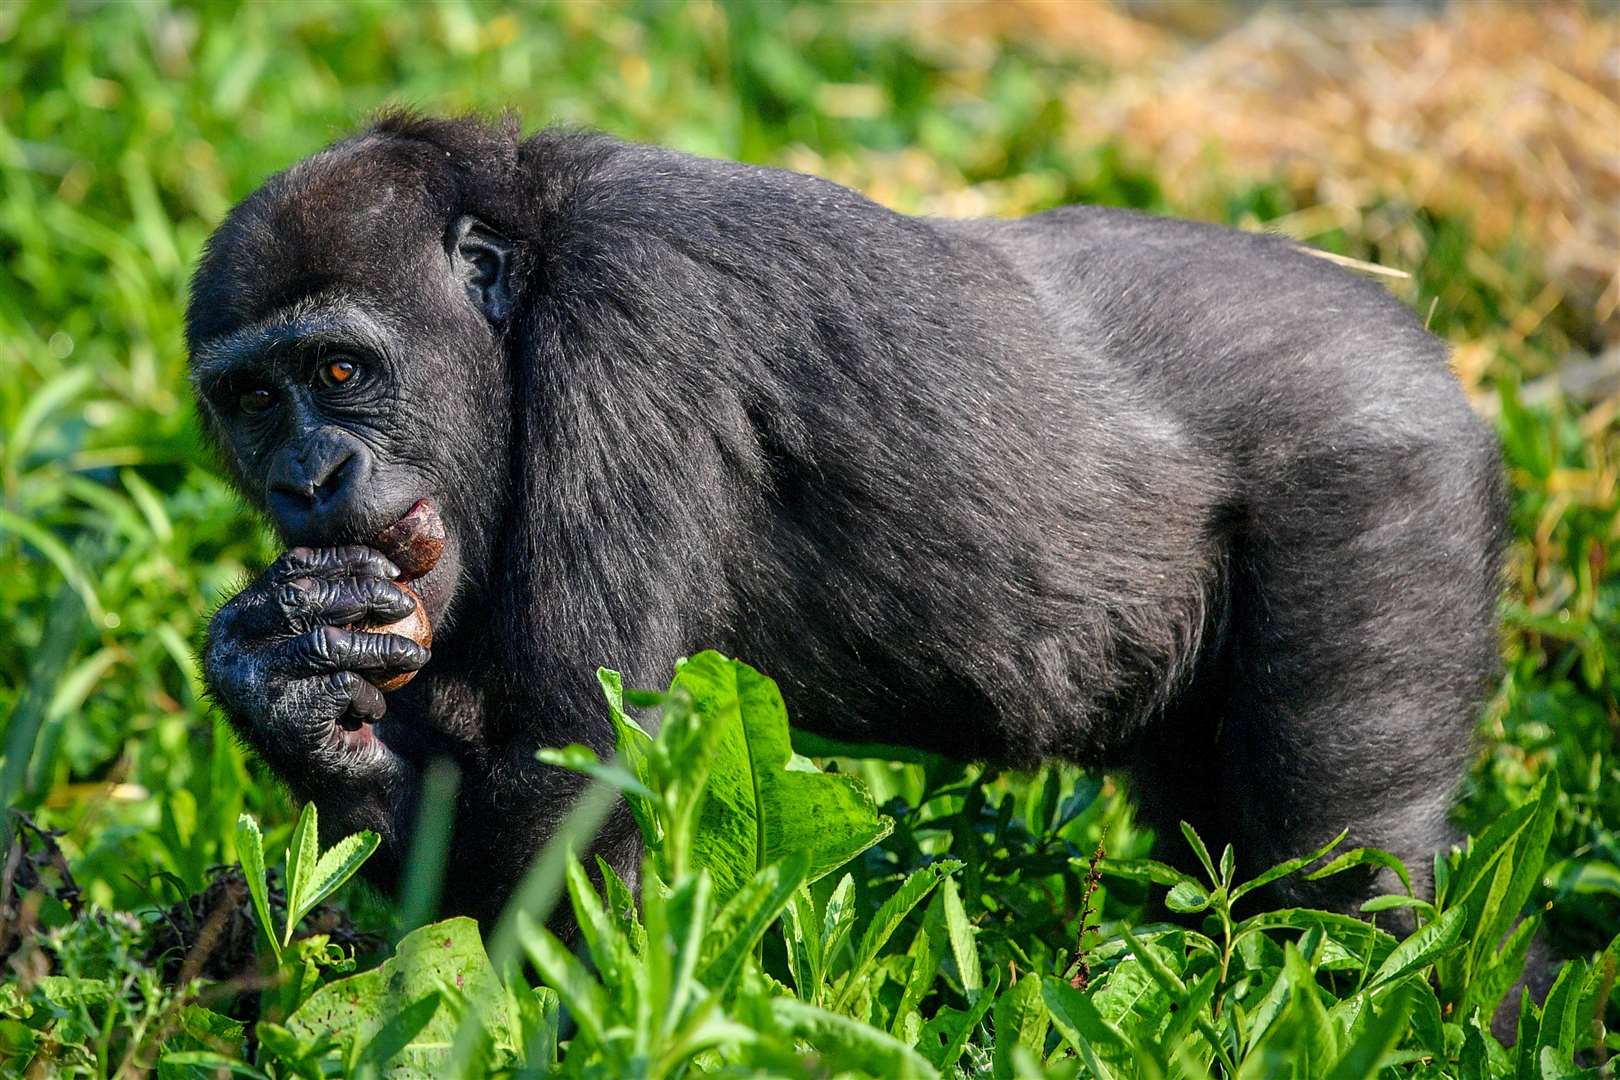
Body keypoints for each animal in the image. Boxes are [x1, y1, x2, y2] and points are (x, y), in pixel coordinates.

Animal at [186, 111, 1503, 932]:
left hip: (1387, 475)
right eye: (253, 400)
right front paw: (283, 683)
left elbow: (569, 775)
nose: (306, 474)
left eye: (342, 372)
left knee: (1346, 869)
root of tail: (1426, 349)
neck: (529, 261)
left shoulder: (631, 318)